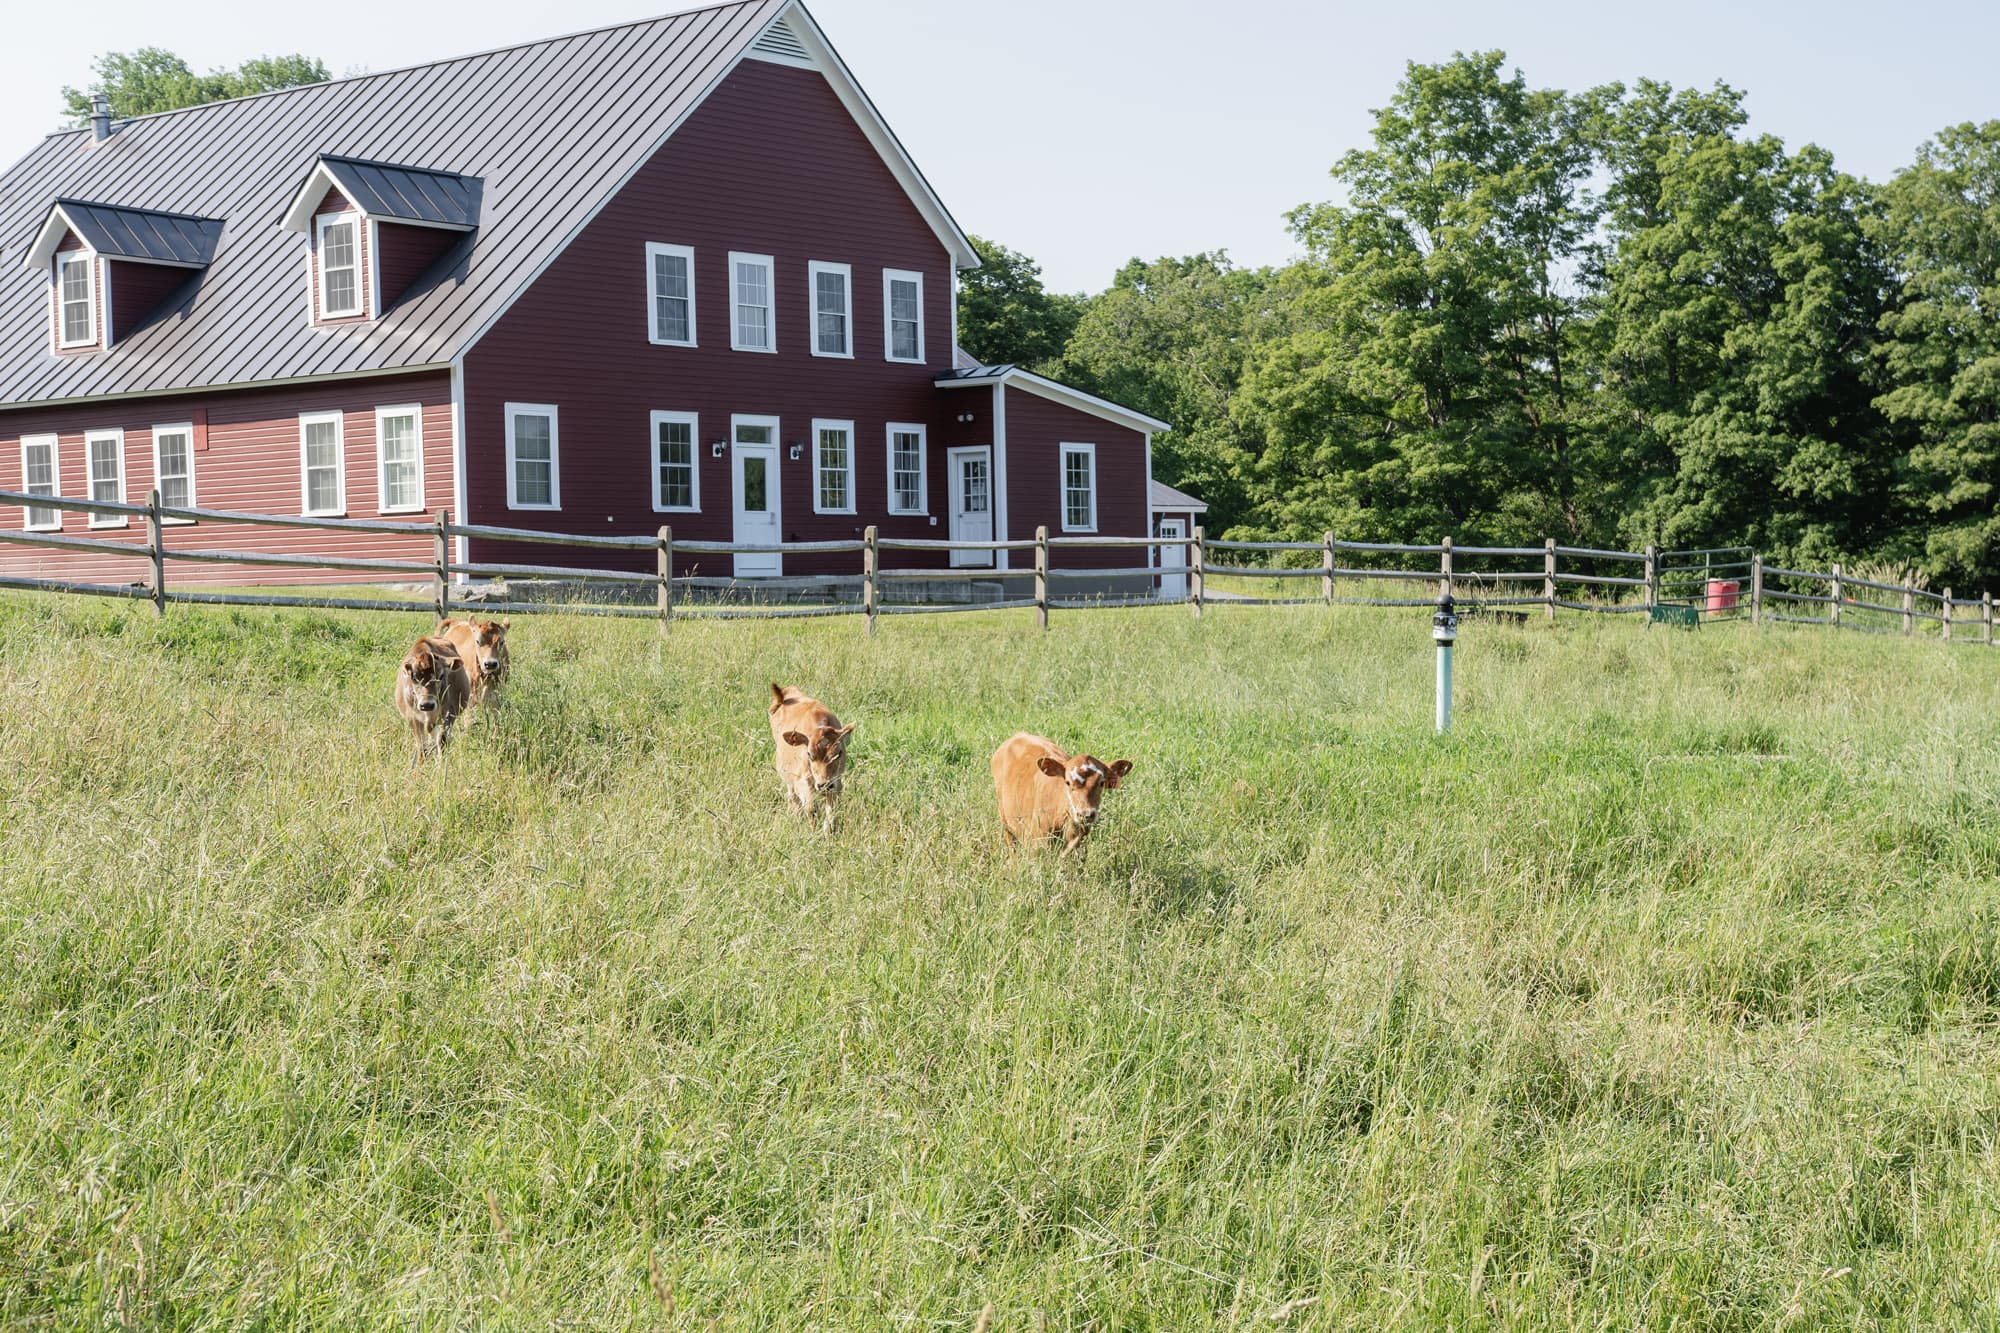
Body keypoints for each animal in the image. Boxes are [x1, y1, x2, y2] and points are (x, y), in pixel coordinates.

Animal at [395, 636, 470, 766]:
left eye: (441, 676)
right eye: (414, 677)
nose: (427, 705)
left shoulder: (448, 715)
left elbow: (442, 741)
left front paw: (441, 764)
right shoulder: (413, 719)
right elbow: (421, 745)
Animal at [769, 683, 855, 830]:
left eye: (839, 753)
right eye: (809, 754)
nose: (824, 785)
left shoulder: (836, 782)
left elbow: (832, 810)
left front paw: (828, 830)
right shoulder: (801, 780)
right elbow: (811, 808)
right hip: (789, 779)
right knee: (792, 798)